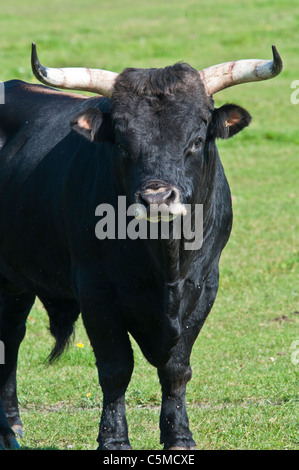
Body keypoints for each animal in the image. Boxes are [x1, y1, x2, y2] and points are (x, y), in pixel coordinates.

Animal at [0, 46, 282, 448]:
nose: (157, 198)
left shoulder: (205, 287)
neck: (166, 260)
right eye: (122, 139)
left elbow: (177, 368)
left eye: (197, 138)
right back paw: (8, 431)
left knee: (11, 335)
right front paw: (113, 439)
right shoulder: (97, 293)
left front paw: (179, 435)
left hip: (18, 279)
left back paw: (13, 425)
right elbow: (116, 369)